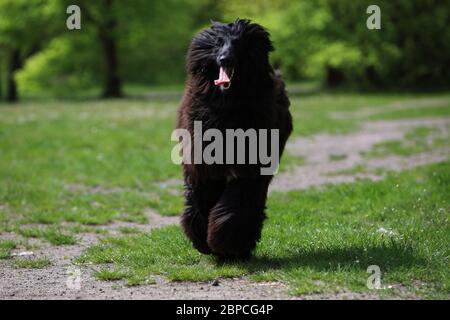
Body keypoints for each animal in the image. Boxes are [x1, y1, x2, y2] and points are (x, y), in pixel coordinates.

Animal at [176, 18, 292, 260]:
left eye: (239, 43)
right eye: (219, 42)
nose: (225, 58)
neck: (227, 105)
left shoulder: (251, 166)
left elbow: (238, 203)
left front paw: (226, 242)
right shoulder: (202, 164)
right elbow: (200, 196)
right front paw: (201, 239)